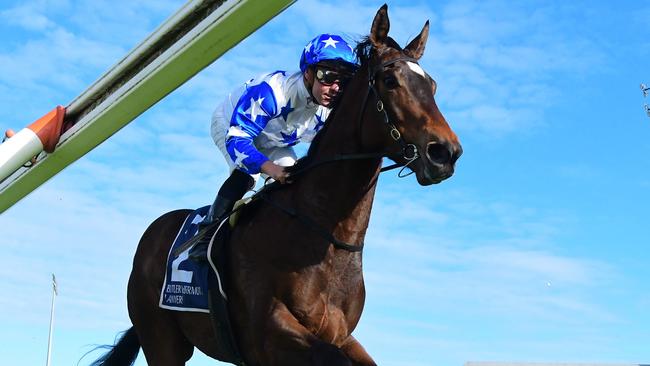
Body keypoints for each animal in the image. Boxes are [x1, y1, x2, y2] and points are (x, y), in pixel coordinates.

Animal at [91, 5, 460, 366]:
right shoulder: (268, 334)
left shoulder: (340, 335)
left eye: (433, 85)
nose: (446, 152)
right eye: (389, 80)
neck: (324, 235)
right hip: (162, 339)